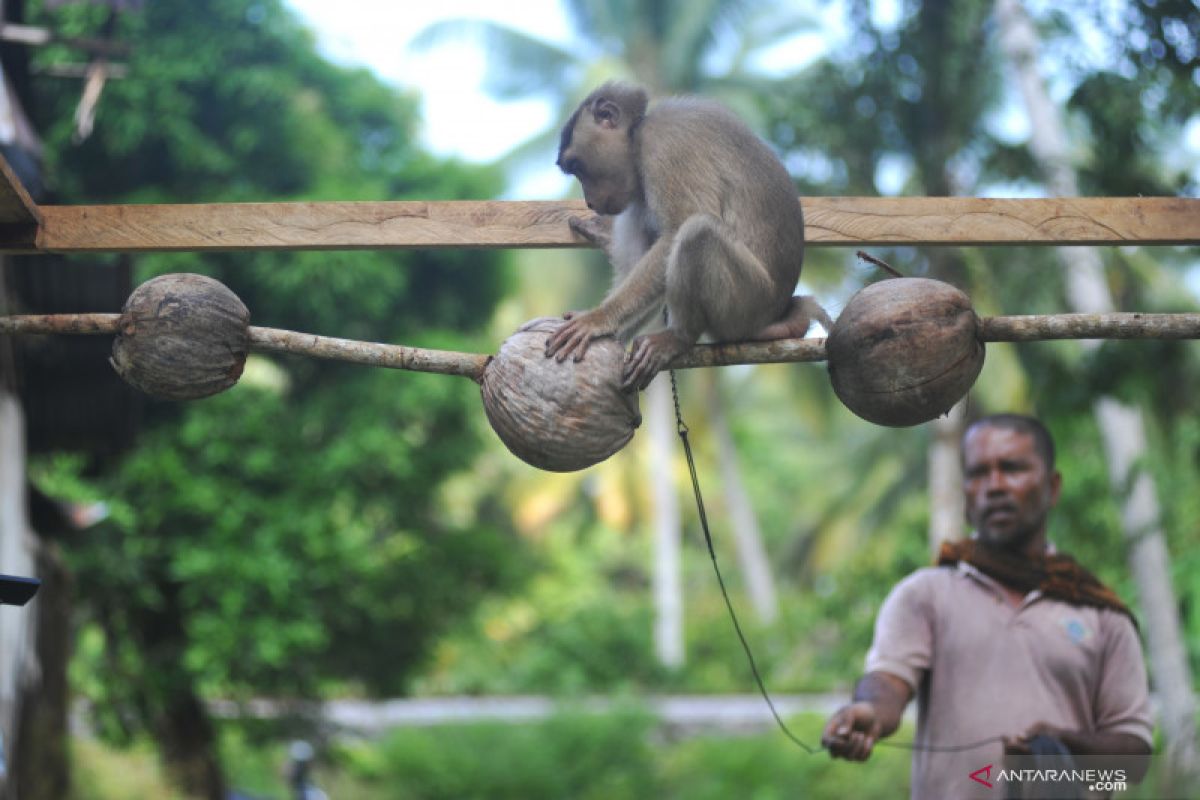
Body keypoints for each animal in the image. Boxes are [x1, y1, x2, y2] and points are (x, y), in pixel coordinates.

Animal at [547, 79, 835, 393]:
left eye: (577, 166)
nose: (588, 201)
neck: (636, 135)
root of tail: (775, 314)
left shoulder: (663, 146)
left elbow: (677, 229)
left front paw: (598, 318)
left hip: (747, 303)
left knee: (697, 232)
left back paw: (680, 336)